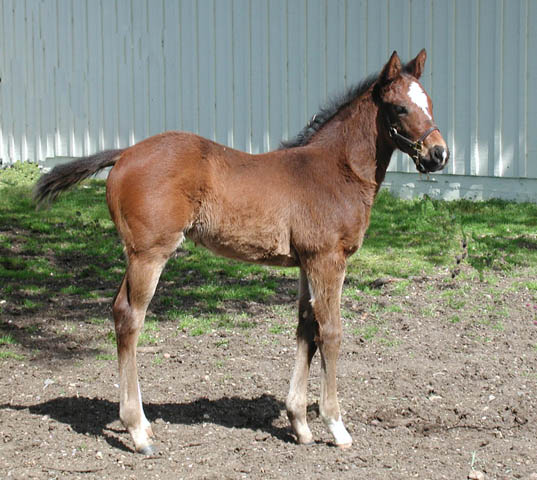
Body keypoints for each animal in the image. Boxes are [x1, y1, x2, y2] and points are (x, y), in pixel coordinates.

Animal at [34, 49, 449, 454]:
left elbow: (305, 327)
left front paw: (299, 423)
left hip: (136, 254)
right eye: (399, 108)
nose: (438, 154)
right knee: (129, 316)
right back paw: (136, 430)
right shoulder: (328, 259)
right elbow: (331, 332)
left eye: (430, 103)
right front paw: (335, 425)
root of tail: (125, 153)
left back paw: (144, 425)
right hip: (148, 254)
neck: (336, 169)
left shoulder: (306, 263)